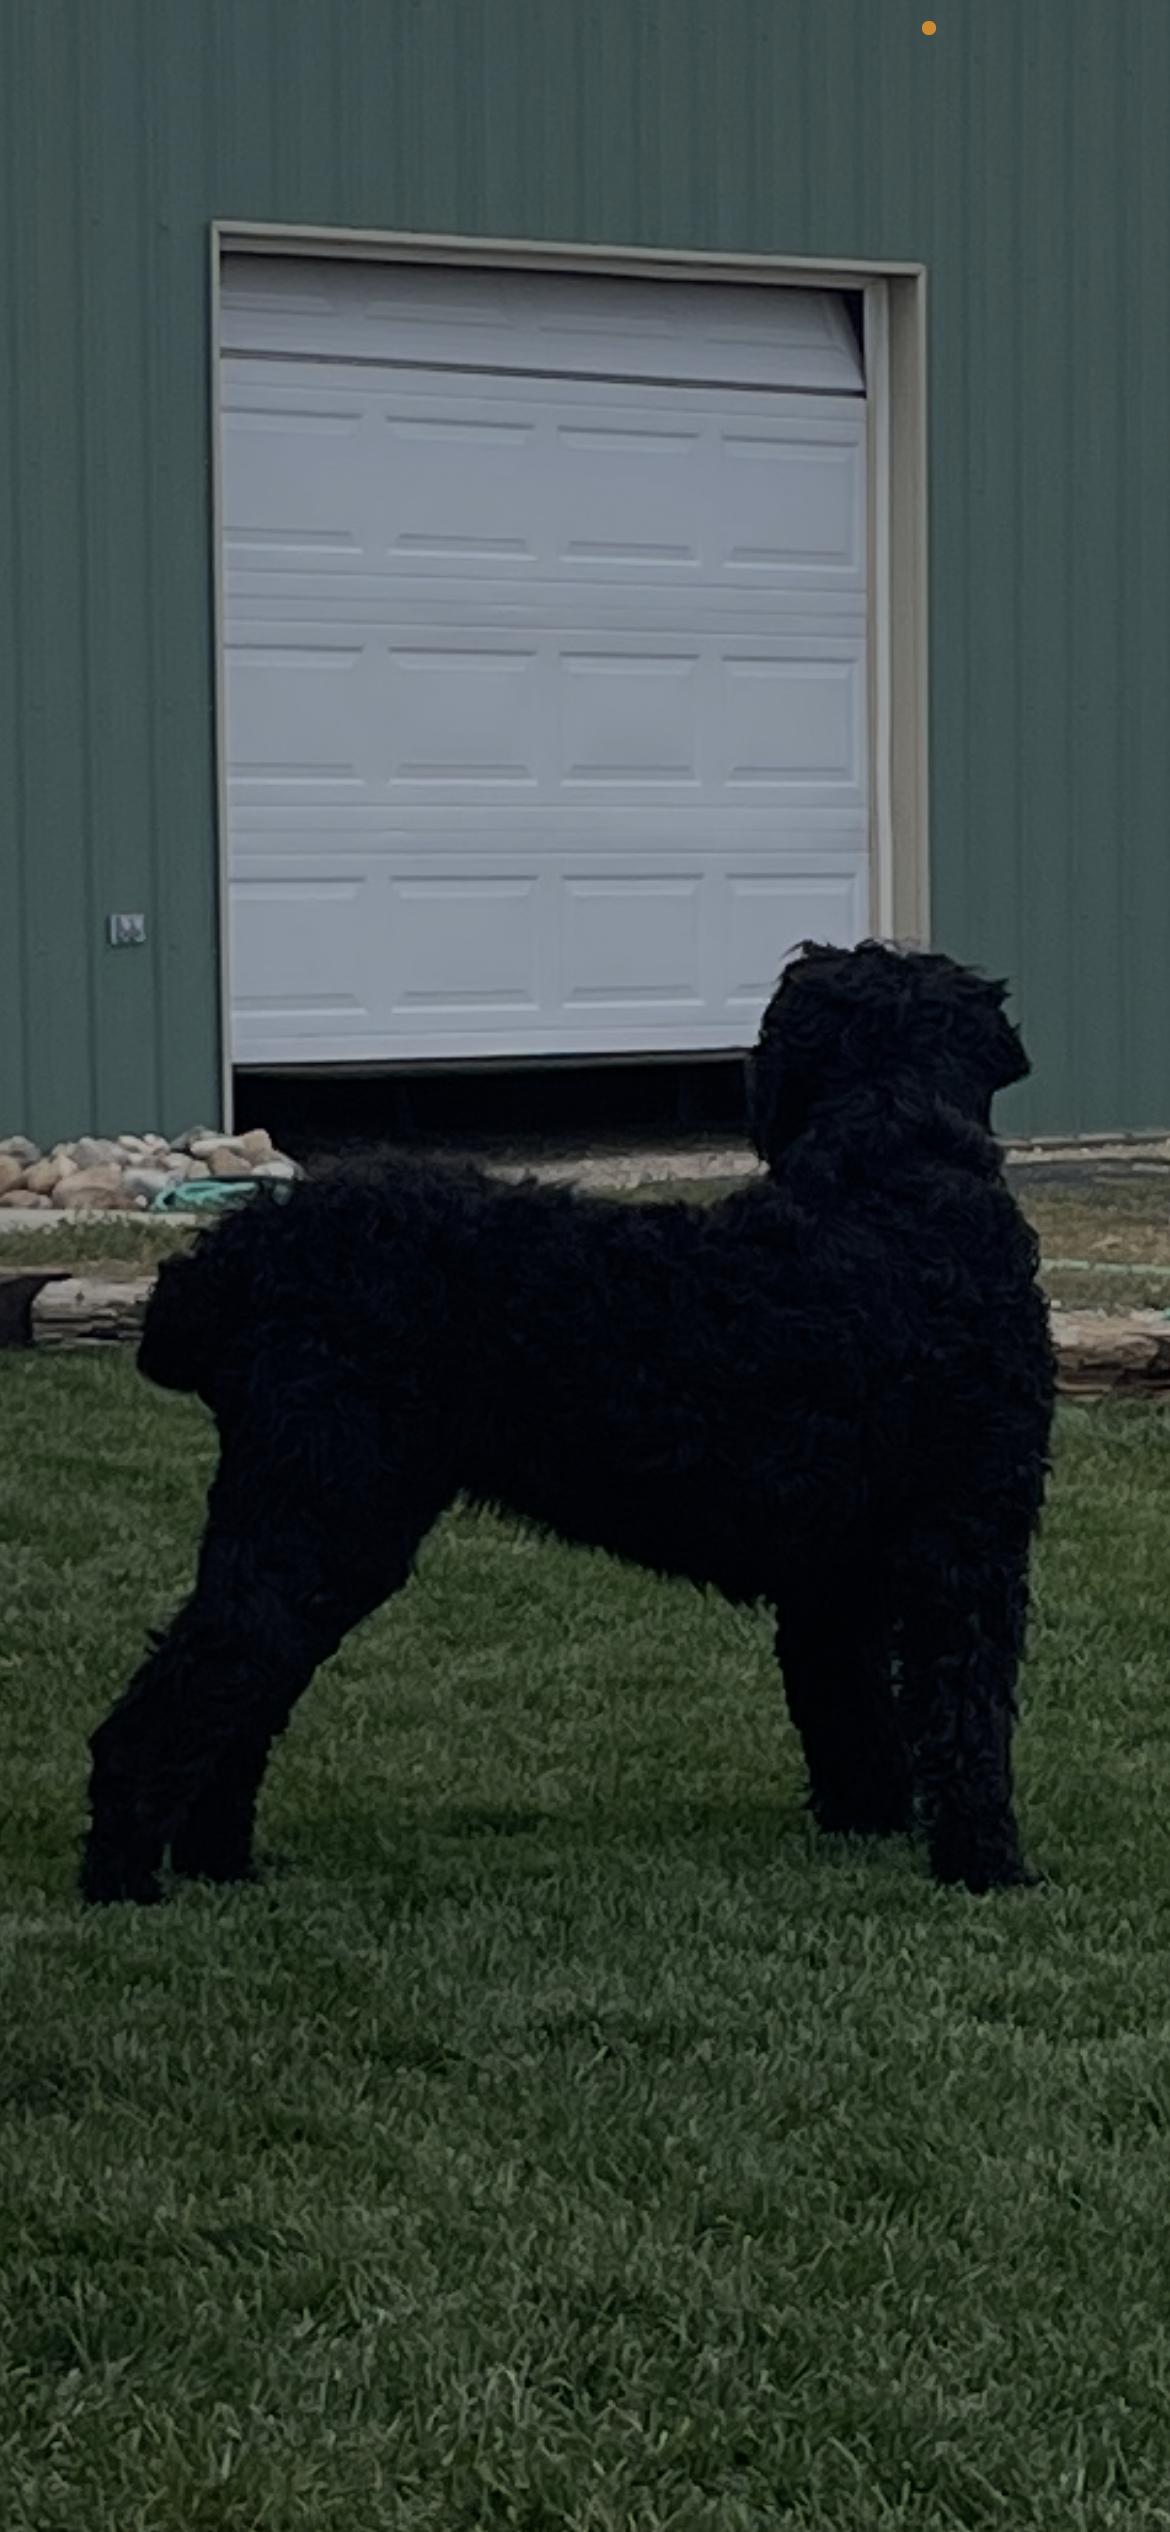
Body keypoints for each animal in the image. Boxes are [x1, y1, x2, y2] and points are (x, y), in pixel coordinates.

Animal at [82, 941, 1054, 1905]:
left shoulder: (834, 1579)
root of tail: (239, 1253)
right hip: (327, 1520)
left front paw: (872, 1827)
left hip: (305, 1531)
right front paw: (988, 1864)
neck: (893, 1190)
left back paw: (220, 1865)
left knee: (239, 1695)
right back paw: (123, 1883)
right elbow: (968, 1716)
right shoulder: (970, 1547)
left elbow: (855, 1717)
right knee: (172, 1704)